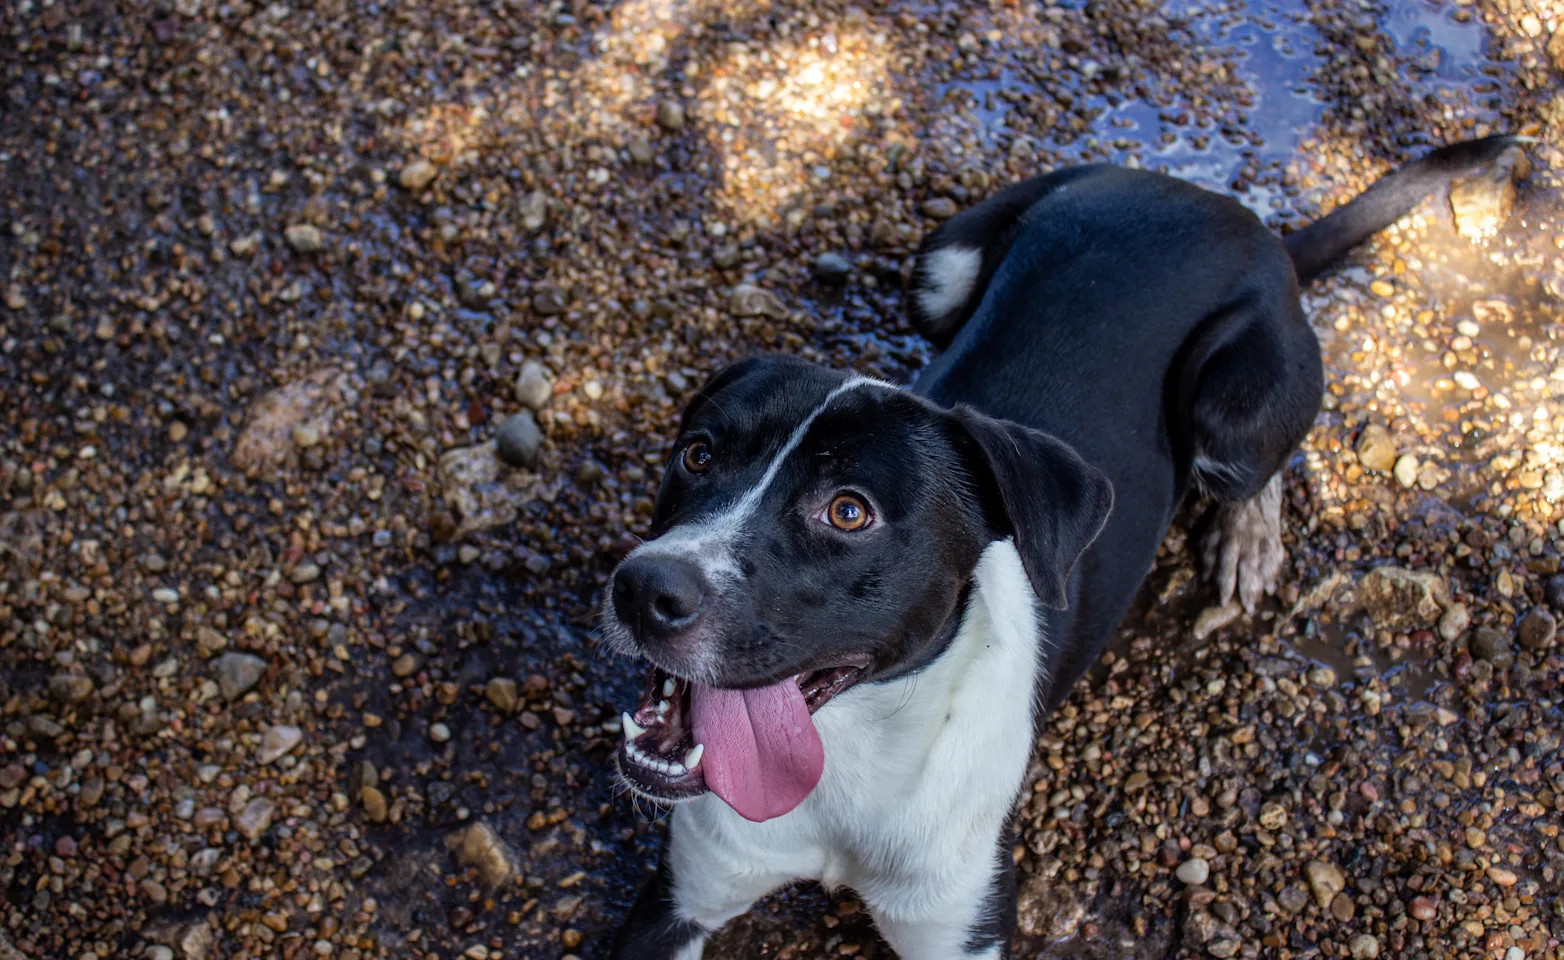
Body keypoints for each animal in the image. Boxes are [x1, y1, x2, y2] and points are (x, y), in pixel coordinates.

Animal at [594, 131, 1513, 956]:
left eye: (848, 512)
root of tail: (1238, 217)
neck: (845, 767)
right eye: (697, 454)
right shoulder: (679, 898)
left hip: (1231, 408)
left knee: (1265, 460)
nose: (644, 588)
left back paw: (1247, 536)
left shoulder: (963, 931)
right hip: (941, 267)